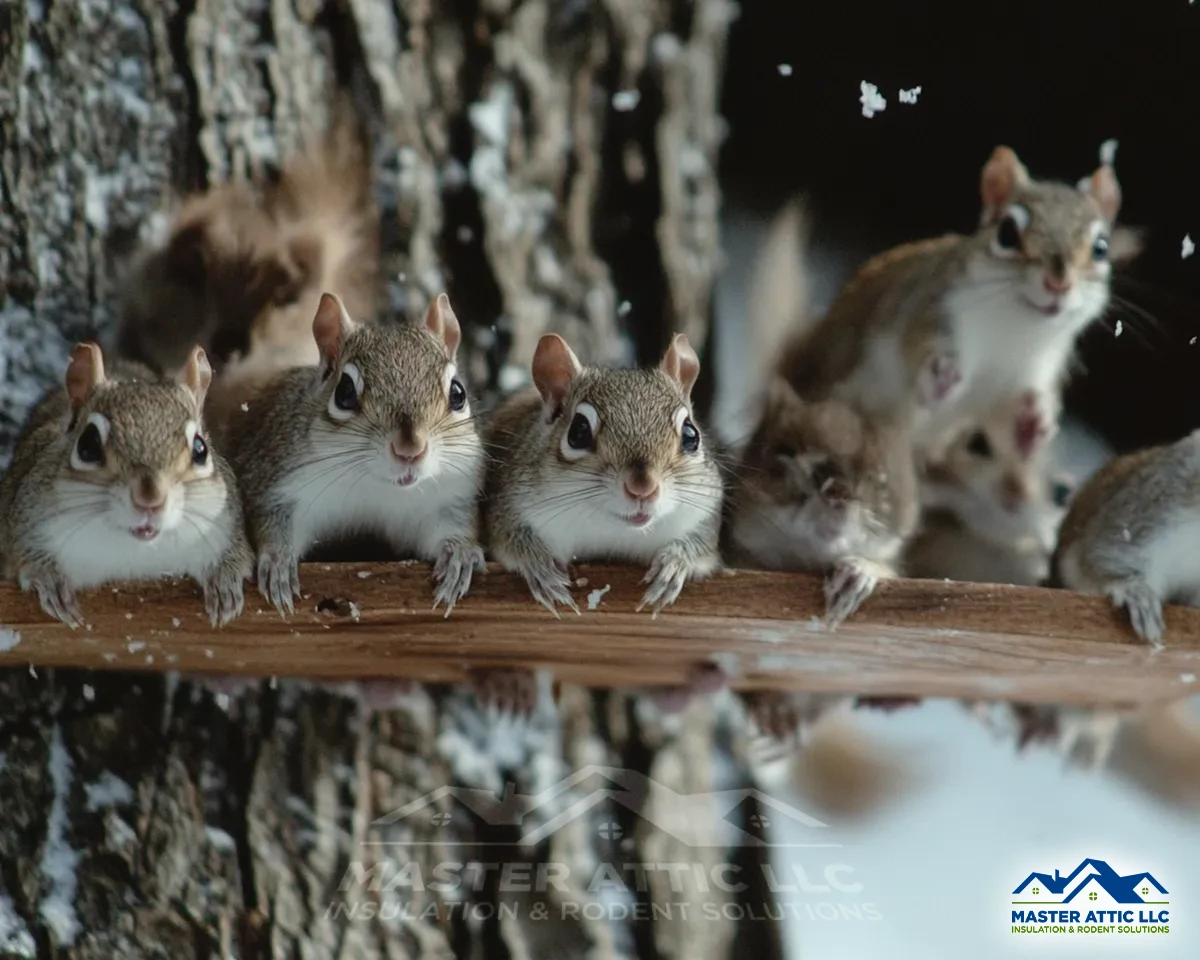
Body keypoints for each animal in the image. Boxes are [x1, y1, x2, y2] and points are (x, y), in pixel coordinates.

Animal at [0, 343, 252, 627]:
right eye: (87, 446)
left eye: (201, 449)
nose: (150, 499)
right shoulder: (24, 517)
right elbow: (22, 552)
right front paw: (48, 579)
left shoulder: (224, 525)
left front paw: (224, 580)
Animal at [211, 291, 485, 617]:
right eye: (344, 392)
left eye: (458, 394)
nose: (410, 450)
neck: (375, 486)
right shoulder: (280, 485)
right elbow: (274, 522)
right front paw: (278, 563)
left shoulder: (444, 501)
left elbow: (451, 528)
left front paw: (459, 555)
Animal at [483, 332, 724, 614]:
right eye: (578, 432)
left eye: (691, 435)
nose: (643, 488)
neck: (610, 529)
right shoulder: (509, 505)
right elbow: (509, 538)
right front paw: (539, 566)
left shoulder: (703, 512)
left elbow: (702, 542)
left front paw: (675, 563)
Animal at [776, 146, 1140, 457]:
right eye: (1007, 233)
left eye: (1102, 247)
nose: (1058, 283)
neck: (1015, 329)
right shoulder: (927, 302)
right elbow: (915, 345)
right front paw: (939, 374)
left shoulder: (1033, 369)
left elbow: (1011, 434)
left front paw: (1036, 420)